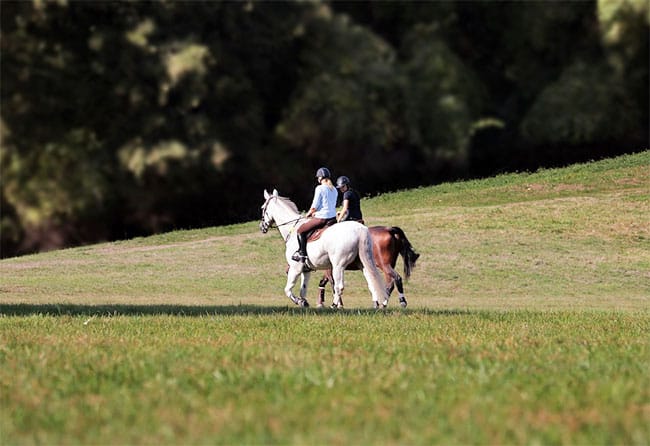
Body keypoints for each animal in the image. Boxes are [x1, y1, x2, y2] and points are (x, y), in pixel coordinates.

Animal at [260, 189, 390, 310]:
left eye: (262, 208)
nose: (262, 227)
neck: (292, 229)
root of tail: (359, 229)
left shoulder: (295, 268)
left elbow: (287, 290)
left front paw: (299, 301)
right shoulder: (306, 270)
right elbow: (303, 290)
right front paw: (304, 302)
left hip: (338, 266)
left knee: (339, 286)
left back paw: (334, 305)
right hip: (362, 263)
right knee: (371, 281)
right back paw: (376, 305)